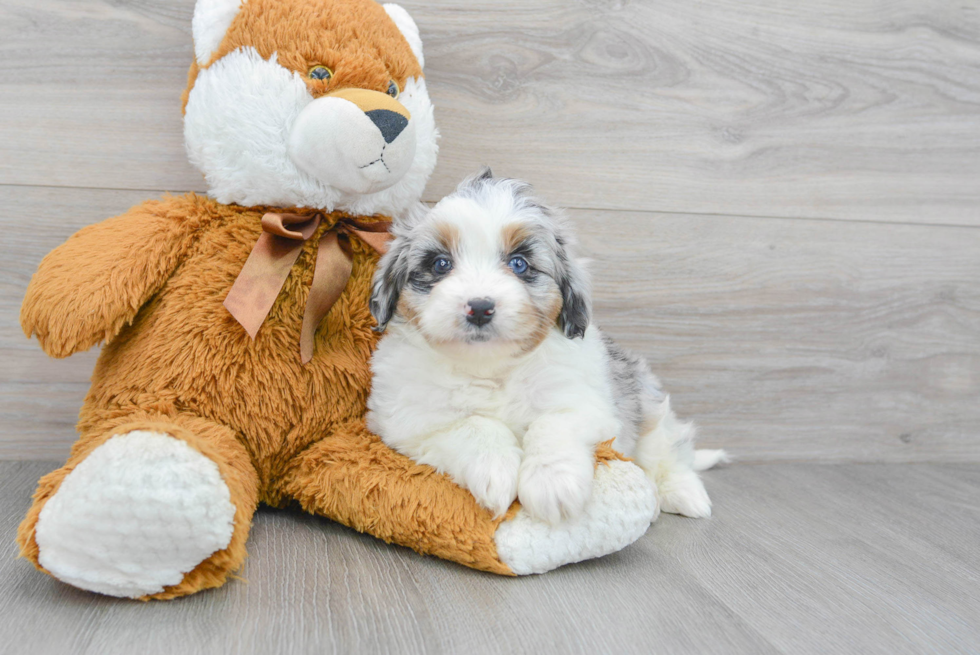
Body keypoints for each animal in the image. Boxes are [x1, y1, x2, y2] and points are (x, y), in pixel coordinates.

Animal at [364, 170, 724, 524]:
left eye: (519, 264)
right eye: (440, 264)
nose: (480, 308)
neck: (491, 368)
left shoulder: (587, 403)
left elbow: (551, 423)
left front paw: (553, 484)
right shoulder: (409, 422)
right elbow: (474, 425)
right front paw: (496, 472)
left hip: (648, 405)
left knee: (669, 451)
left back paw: (684, 492)